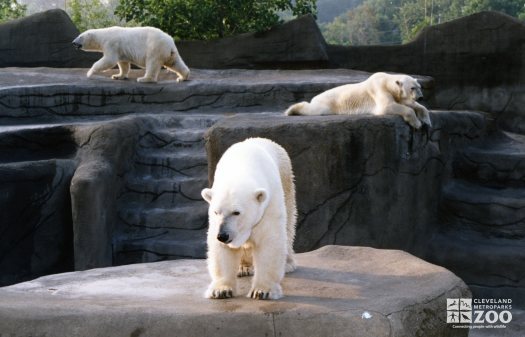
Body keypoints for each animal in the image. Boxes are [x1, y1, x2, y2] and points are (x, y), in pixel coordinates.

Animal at [200, 136, 294, 300]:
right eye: (216, 212)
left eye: (236, 212)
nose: (223, 235)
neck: (242, 167)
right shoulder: (216, 223)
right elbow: (221, 250)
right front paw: (221, 290)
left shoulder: (269, 204)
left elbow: (269, 241)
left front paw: (262, 291)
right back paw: (243, 268)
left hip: (286, 180)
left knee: (288, 225)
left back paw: (287, 263)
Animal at [284, 71, 432, 129]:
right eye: (412, 88)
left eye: (420, 87)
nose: (421, 97)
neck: (386, 81)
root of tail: (316, 97)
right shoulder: (379, 89)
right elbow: (387, 106)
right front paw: (417, 124)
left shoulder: (396, 94)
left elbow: (408, 103)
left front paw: (427, 121)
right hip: (326, 103)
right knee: (313, 109)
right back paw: (290, 110)